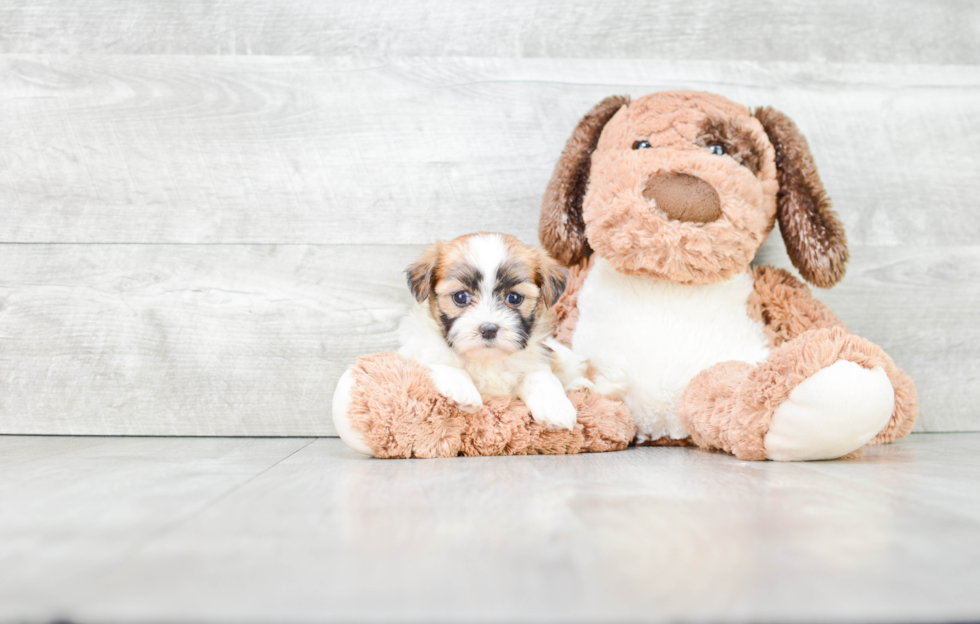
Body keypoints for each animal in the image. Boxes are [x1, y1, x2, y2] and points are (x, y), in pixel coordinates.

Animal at [398, 232, 588, 432]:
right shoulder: (418, 350)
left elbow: (540, 378)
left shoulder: (536, 362)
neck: (487, 360)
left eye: (514, 298)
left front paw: (556, 407)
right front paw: (462, 389)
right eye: (460, 297)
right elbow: (440, 362)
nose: (488, 329)